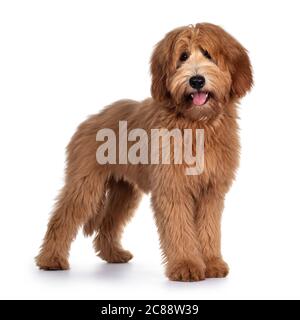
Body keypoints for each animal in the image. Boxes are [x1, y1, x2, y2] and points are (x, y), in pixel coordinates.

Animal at [37, 23, 253, 282]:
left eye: (208, 54)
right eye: (183, 56)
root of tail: (91, 119)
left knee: (108, 223)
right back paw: (51, 259)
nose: (197, 80)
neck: (197, 125)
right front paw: (186, 265)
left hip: (124, 191)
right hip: (85, 185)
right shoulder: (172, 187)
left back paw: (114, 254)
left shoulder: (211, 190)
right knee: (62, 218)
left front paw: (212, 263)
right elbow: (179, 228)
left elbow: (209, 229)